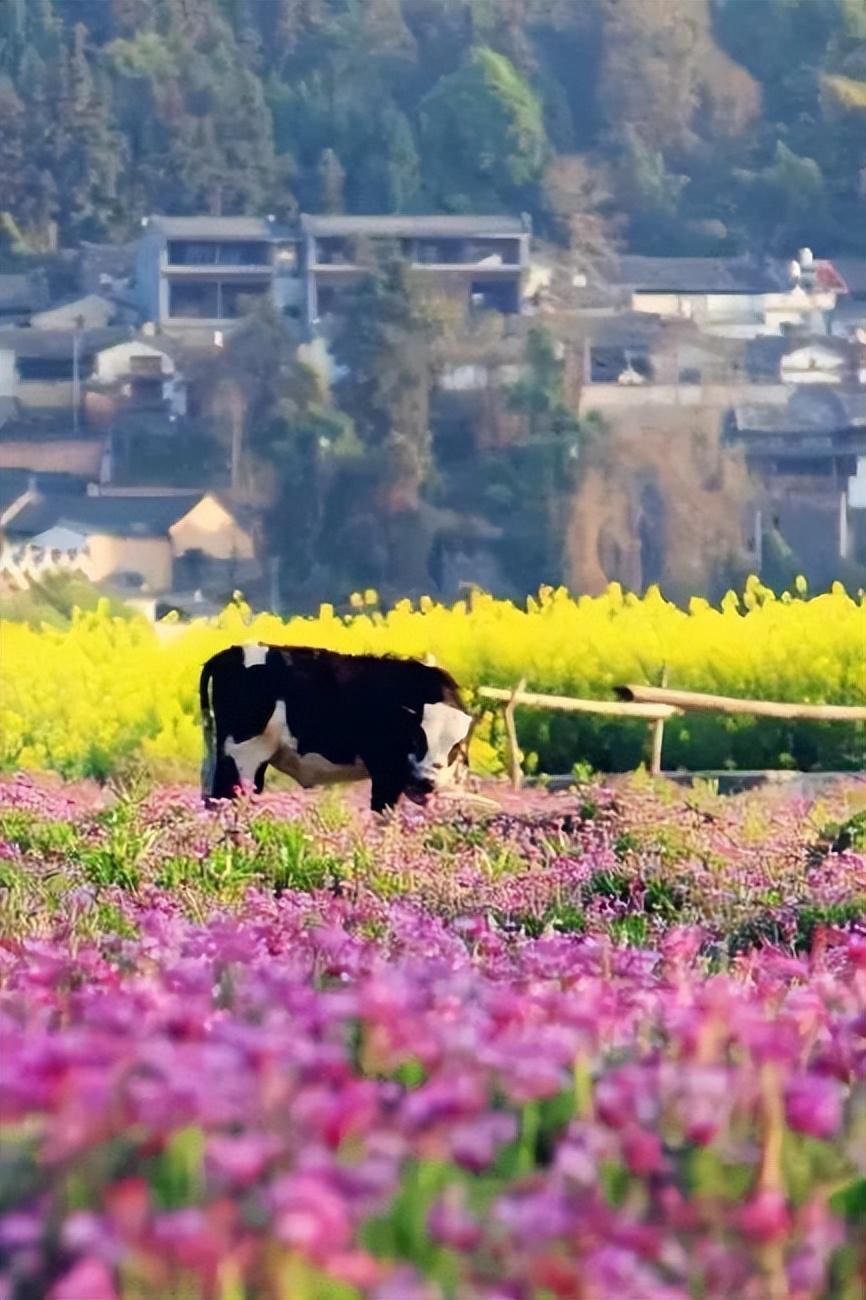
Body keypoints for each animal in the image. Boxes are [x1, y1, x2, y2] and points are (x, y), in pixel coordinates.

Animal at [197, 642, 473, 811]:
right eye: (417, 738)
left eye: (455, 748)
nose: (426, 782)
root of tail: (230, 653)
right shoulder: (385, 772)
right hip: (242, 756)